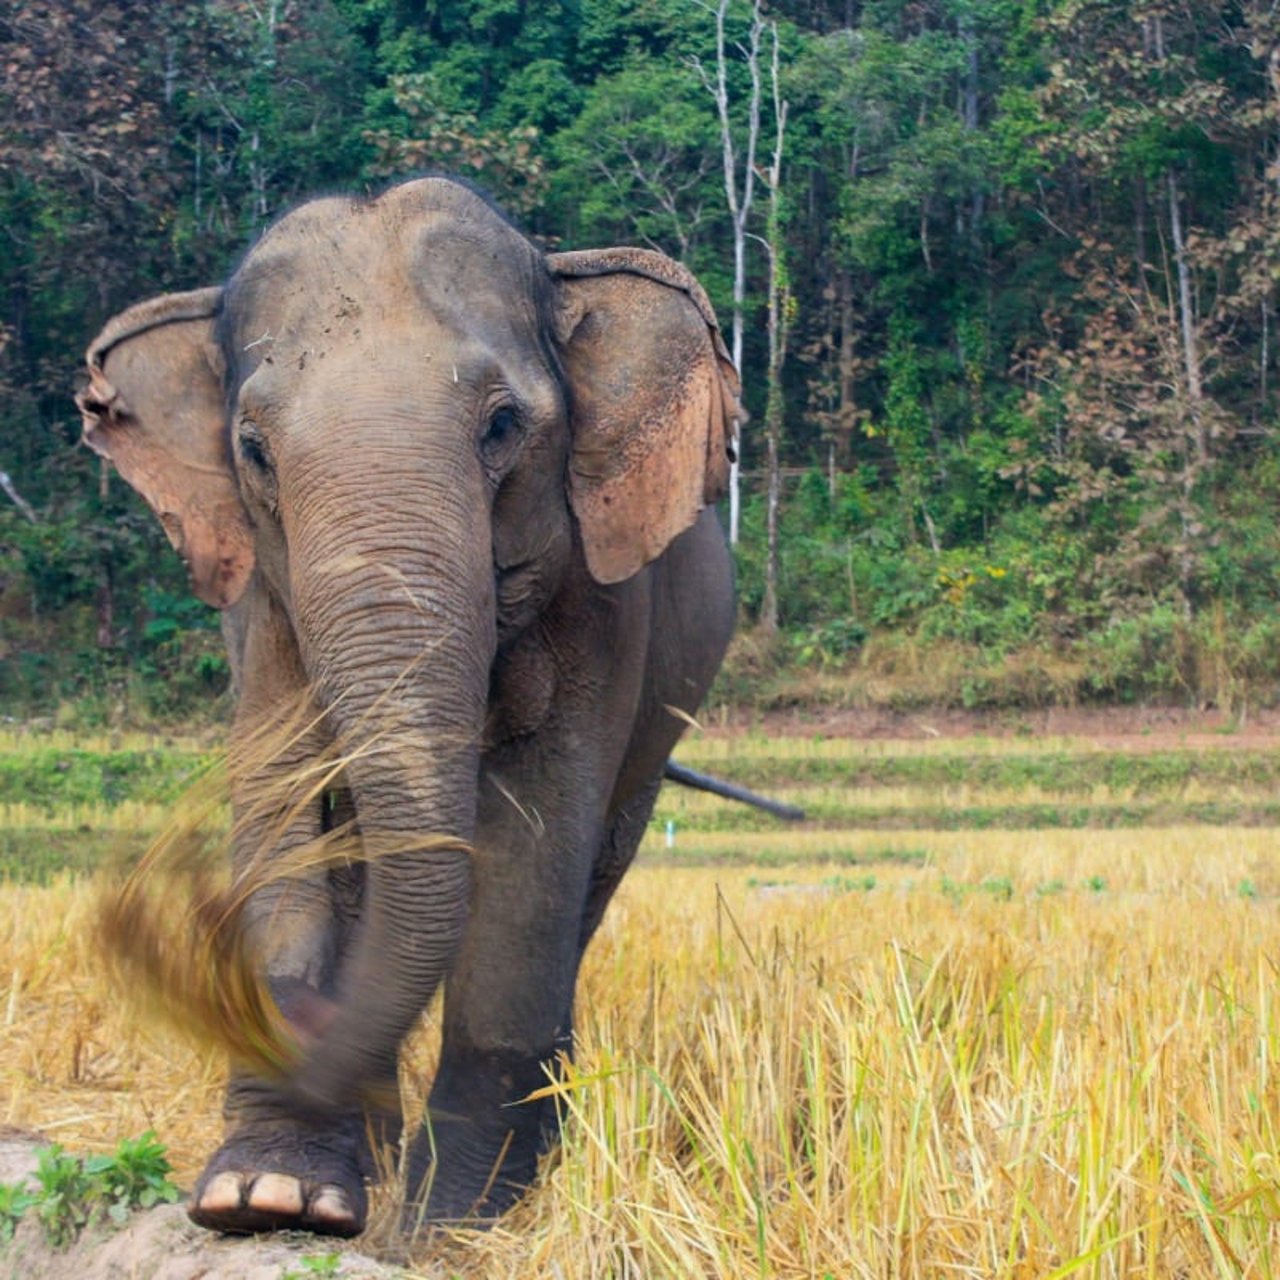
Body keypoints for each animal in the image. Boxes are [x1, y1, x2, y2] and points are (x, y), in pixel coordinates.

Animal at [77, 175, 742, 1233]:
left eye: (502, 427)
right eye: (252, 449)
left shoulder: (604, 608)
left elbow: (532, 849)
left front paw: (451, 1223)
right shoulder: (260, 608)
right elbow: (280, 809)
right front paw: (268, 1199)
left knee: (587, 881)